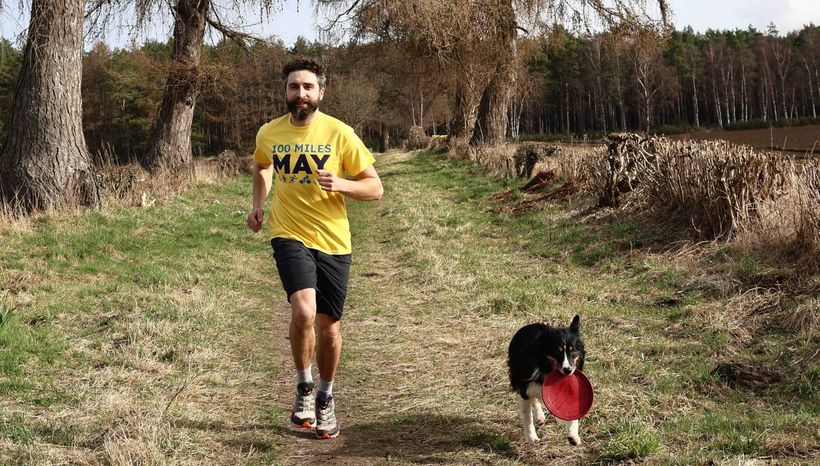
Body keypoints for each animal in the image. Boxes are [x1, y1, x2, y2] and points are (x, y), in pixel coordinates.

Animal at [507, 315, 585, 444]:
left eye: (573, 349)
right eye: (557, 351)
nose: (568, 370)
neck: (546, 368)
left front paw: (574, 436)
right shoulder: (525, 390)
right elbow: (527, 416)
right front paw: (531, 437)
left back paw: (539, 416)